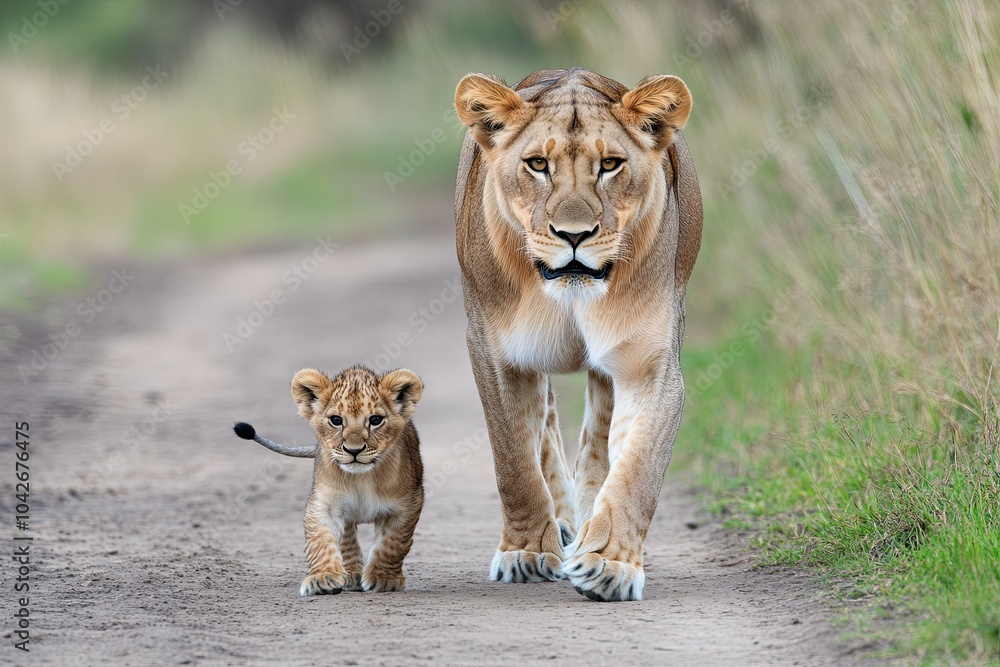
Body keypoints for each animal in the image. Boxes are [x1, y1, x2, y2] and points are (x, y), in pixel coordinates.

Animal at [233, 366, 424, 595]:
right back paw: (351, 574)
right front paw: (322, 578)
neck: (362, 478)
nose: (353, 450)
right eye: (336, 420)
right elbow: (321, 540)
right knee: (347, 536)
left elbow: (393, 544)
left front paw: (384, 579)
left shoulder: (407, 505)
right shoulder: (323, 504)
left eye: (375, 420)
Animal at [453, 68, 702, 601]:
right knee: (545, 424)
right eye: (537, 164)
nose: (573, 235)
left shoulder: (649, 363)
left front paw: (610, 565)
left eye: (609, 165)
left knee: (597, 436)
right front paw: (526, 552)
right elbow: (515, 462)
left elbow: (636, 468)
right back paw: (564, 524)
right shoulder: (495, 352)